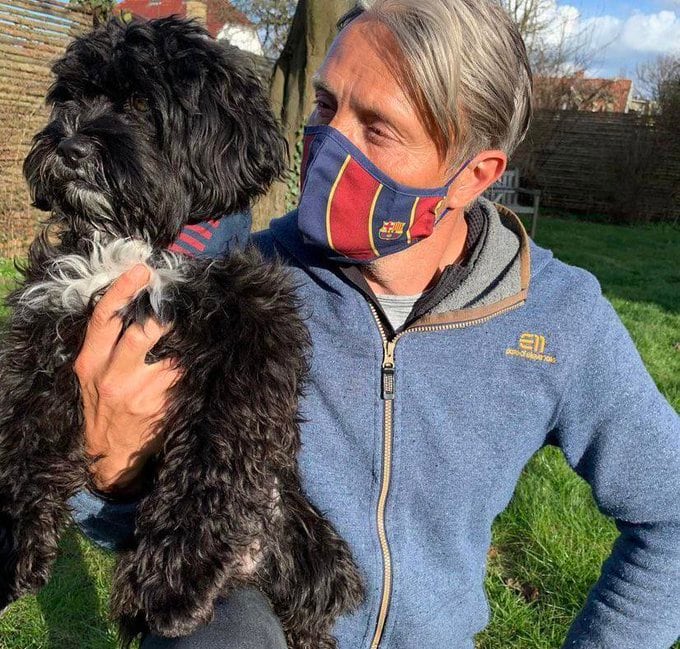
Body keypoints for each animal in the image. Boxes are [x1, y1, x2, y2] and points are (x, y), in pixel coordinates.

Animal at [0, 15, 362, 648]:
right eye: (69, 100)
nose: (68, 147)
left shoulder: (250, 341)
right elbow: (24, 430)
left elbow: (215, 457)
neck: (139, 245)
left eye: (143, 104)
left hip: (316, 551)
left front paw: (177, 579)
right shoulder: (47, 317)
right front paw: (15, 541)